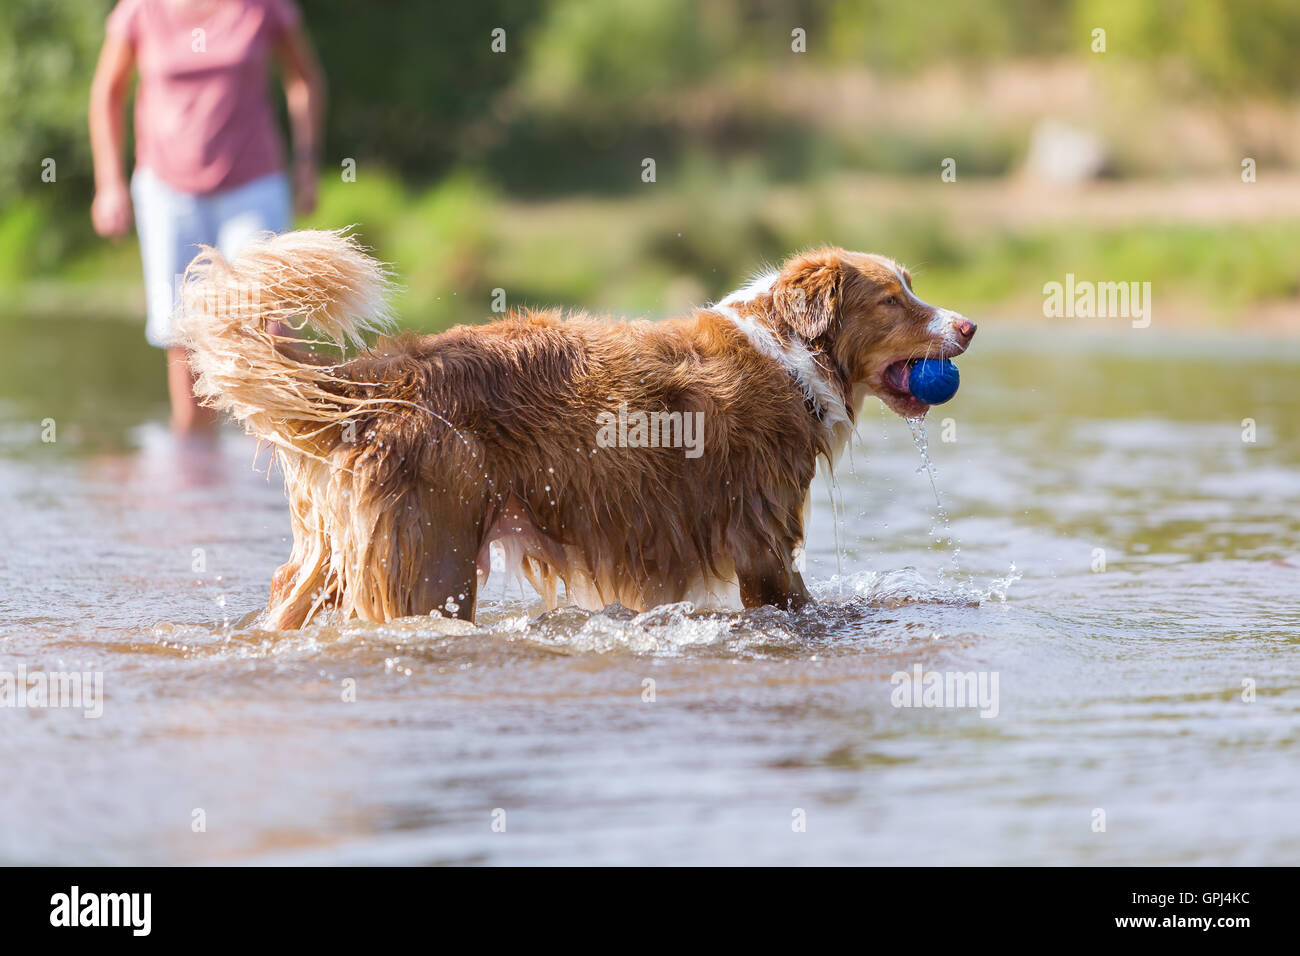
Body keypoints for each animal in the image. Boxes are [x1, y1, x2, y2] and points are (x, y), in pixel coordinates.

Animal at [175, 231, 977, 629]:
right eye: (893, 299)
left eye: (912, 286)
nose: (968, 325)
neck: (789, 352)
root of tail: (373, 376)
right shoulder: (763, 545)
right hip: (431, 562)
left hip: (332, 554)